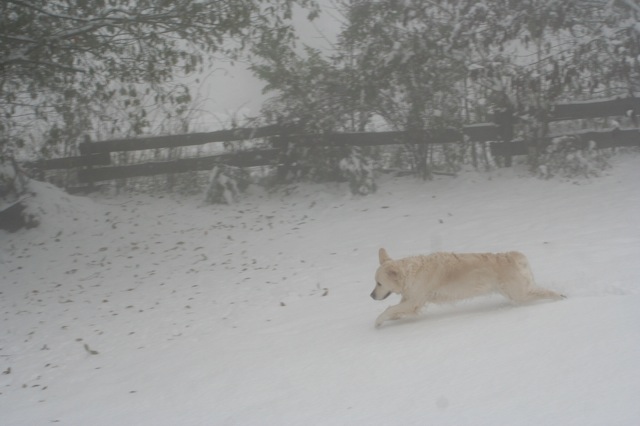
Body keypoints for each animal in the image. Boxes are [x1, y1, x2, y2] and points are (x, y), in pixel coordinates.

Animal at [370, 248, 564, 328]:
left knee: (547, 293)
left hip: (520, 294)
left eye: (379, 283)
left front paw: (378, 321)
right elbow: (396, 310)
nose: (371, 296)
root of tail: (514, 256)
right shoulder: (409, 300)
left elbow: (389, 309)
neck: (411, 272)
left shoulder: (414, 301)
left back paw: (561, 297)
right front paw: (392, 318)